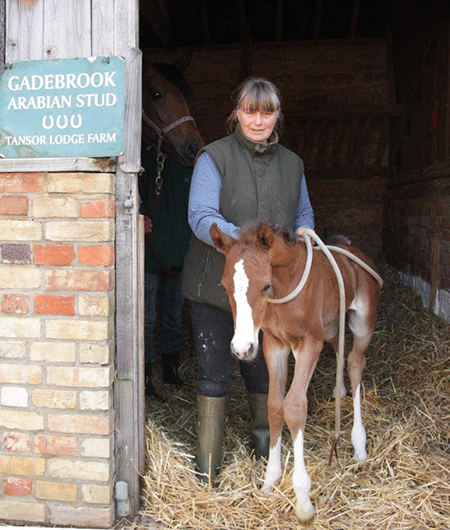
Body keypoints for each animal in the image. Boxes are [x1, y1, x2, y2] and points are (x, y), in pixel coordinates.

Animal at [209, 221, 382, 520]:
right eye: (224, 285)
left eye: (265, 286)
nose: (242, 349)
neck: (284, 292)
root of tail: (352, 250)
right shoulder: (273, 345)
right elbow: (274, 405)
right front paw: (270, 481)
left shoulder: (309, 343)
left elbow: (294, 407)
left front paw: (302, 499)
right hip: (331, 325)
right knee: (339, 348)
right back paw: (339, 391)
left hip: (363, 323)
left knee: (355, 363)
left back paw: (359, 445)